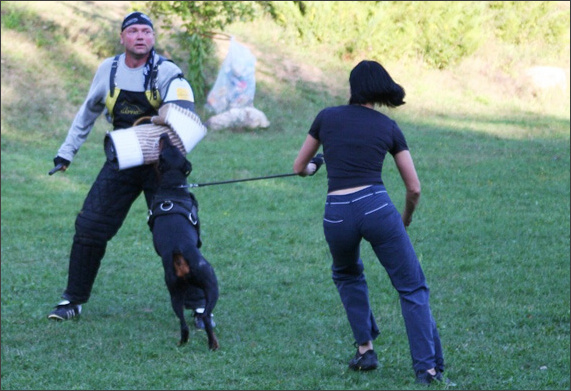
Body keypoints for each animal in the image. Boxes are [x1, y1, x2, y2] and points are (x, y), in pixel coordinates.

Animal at [147, 133, 219, 350]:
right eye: (164, 146)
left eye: (174, 147)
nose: (163, 134)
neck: (173, 187)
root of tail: (179, 251)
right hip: (212, 283)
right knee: (205, 316)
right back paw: (214, 344)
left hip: (175, 293)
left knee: (183, 323)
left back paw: (183, 342)